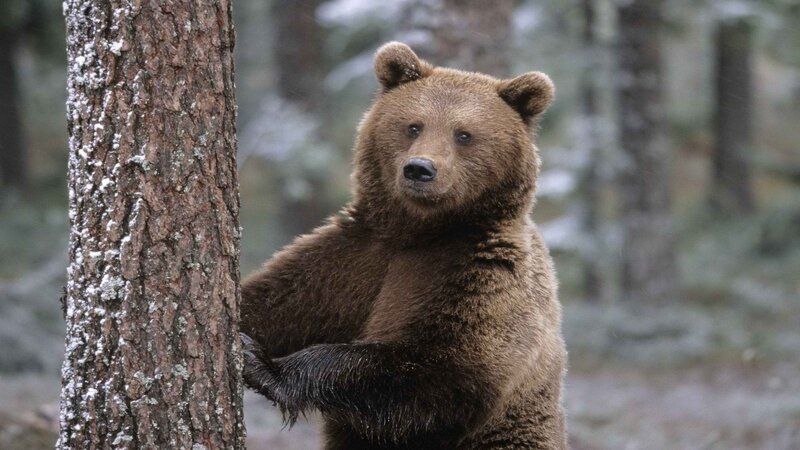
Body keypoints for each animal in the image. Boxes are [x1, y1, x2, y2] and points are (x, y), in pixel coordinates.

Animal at [240, 42, 567, 450]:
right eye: (414, 125)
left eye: (463, 134)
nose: (420, 169)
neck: (422, 231)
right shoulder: (356, 258)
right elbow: (279, 300)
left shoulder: (481, 278)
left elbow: (435, 373)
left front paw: (265, 366)